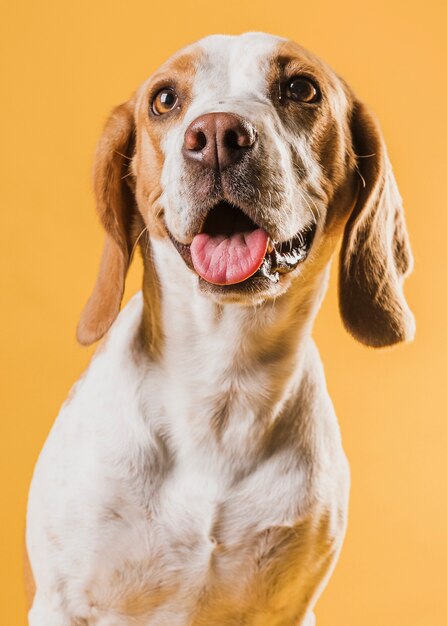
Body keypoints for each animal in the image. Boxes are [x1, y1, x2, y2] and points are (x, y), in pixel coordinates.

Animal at [25, 30, 416, 624]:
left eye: (301, 88)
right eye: (164, 100)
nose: (215, 137)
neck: (221, 384)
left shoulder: (290, 609)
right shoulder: (62, 603)